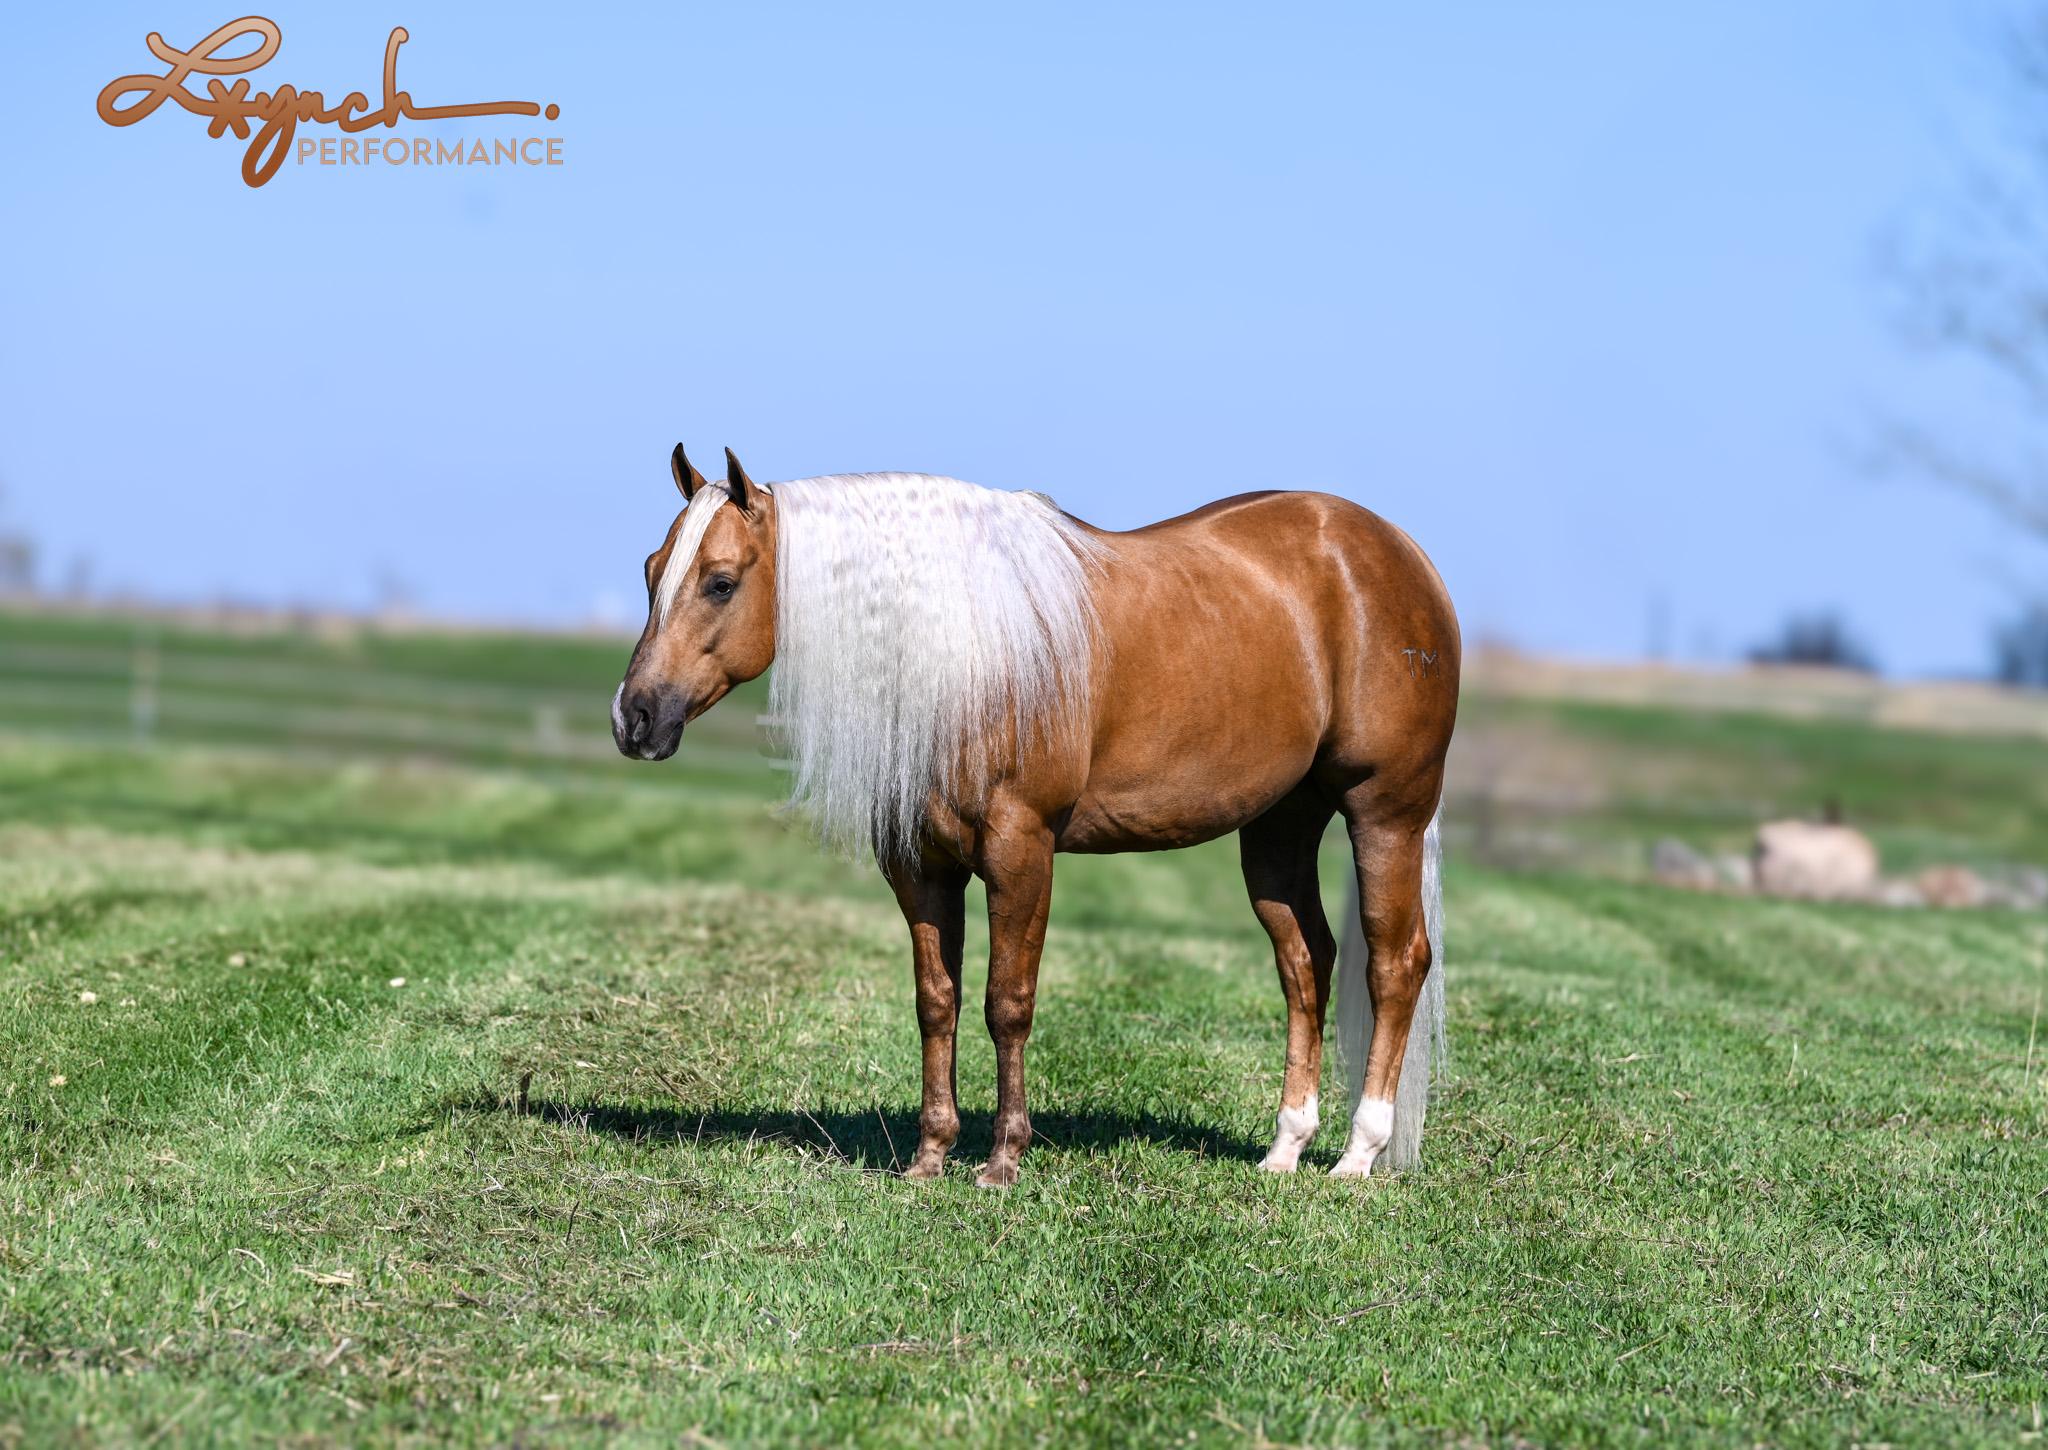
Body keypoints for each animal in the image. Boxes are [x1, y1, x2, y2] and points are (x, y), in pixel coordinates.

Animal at [613, 446, 1459, 1187]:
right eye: (652, 570)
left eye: (721, 582)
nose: (634, 719)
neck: (966, 655)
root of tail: (1400, 554)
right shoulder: (920, 866)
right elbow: (937, 1002)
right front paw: (930, 1156)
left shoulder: (1021, 850)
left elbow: (1006, 1004)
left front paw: (1002, 1160)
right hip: (1281, 827)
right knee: (1306, 962)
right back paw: (1286, 1149)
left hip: (1386, 812)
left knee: (1395, 963)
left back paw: (1358, 1155)